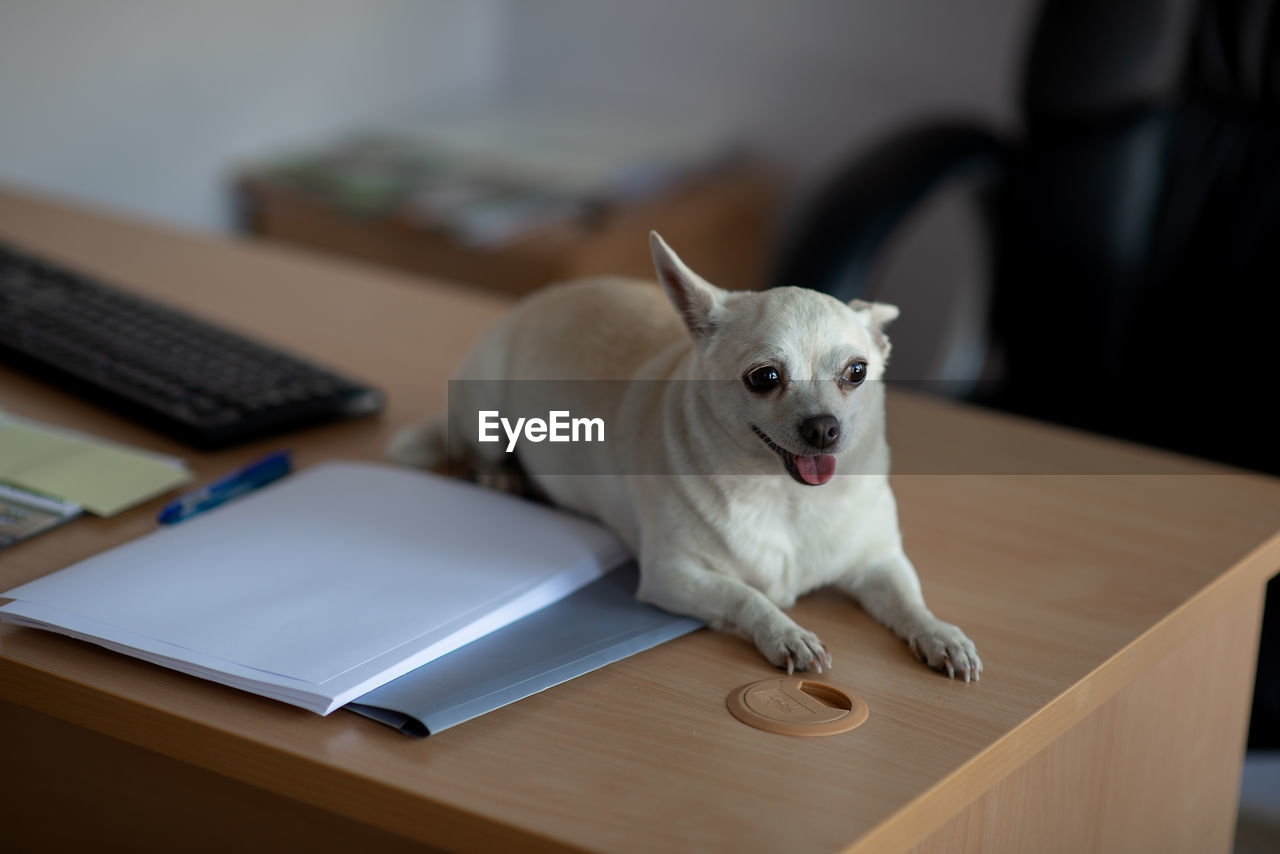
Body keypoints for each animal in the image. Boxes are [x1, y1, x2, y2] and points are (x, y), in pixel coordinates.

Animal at [389, 234, 977, 681]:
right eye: (765, 377)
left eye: (857, 372)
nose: (825, 428)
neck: (784, 498)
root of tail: (535, 301)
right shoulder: (674, 577)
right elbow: (747, 598)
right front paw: (787, 633)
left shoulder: (879, 563)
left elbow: (910, 601)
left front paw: (940, 635)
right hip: (485, 411)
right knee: (480, 450)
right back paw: (502, 479)